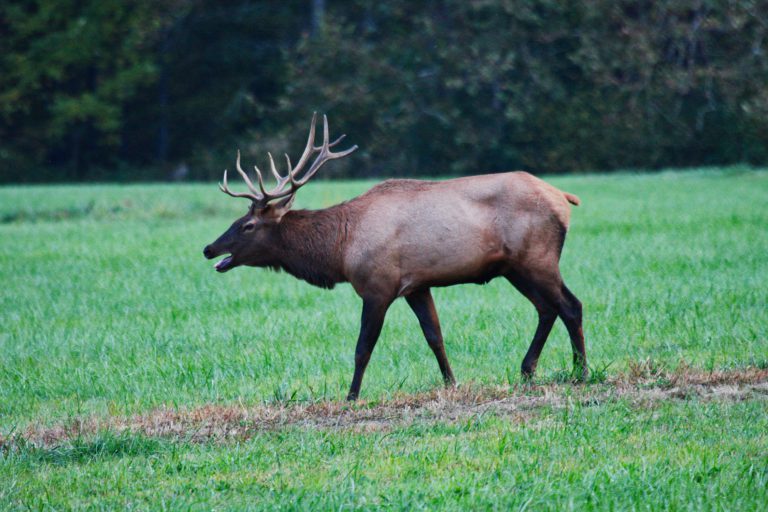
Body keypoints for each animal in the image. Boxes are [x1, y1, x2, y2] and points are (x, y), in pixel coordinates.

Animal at [204, 114, 588, 402]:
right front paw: (451, 383)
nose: (209, 248)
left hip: (537, 258)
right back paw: (528, 370)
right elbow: (435, 336)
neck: (340, 250)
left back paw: (580, 371)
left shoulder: (378, 286)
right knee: (547, 308)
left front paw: (351, 396)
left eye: (247, 225)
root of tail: (564, 197)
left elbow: (363, 347)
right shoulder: (416, 286)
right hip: (515, 268)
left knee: (570, 305)